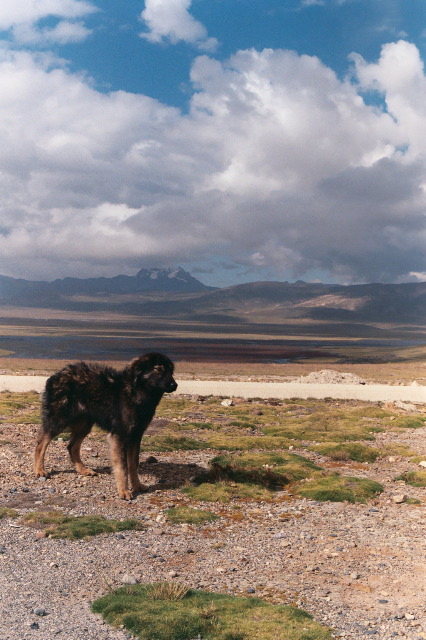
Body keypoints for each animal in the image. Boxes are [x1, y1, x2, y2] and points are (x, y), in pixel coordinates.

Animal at [33, 350, 176, 500]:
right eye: (158, 369)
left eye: (170, 370)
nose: (174, 385)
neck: (136, 391)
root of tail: (56, 375)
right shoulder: (119, 435)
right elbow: (122, 467)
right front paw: (124, 490)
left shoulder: (136, 435)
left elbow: (133, 464)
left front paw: (137, 486)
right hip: (59, 419)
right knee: (41, 443)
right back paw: (39, 470)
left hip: (84, 425)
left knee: (71, 446)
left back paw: (83, 470)